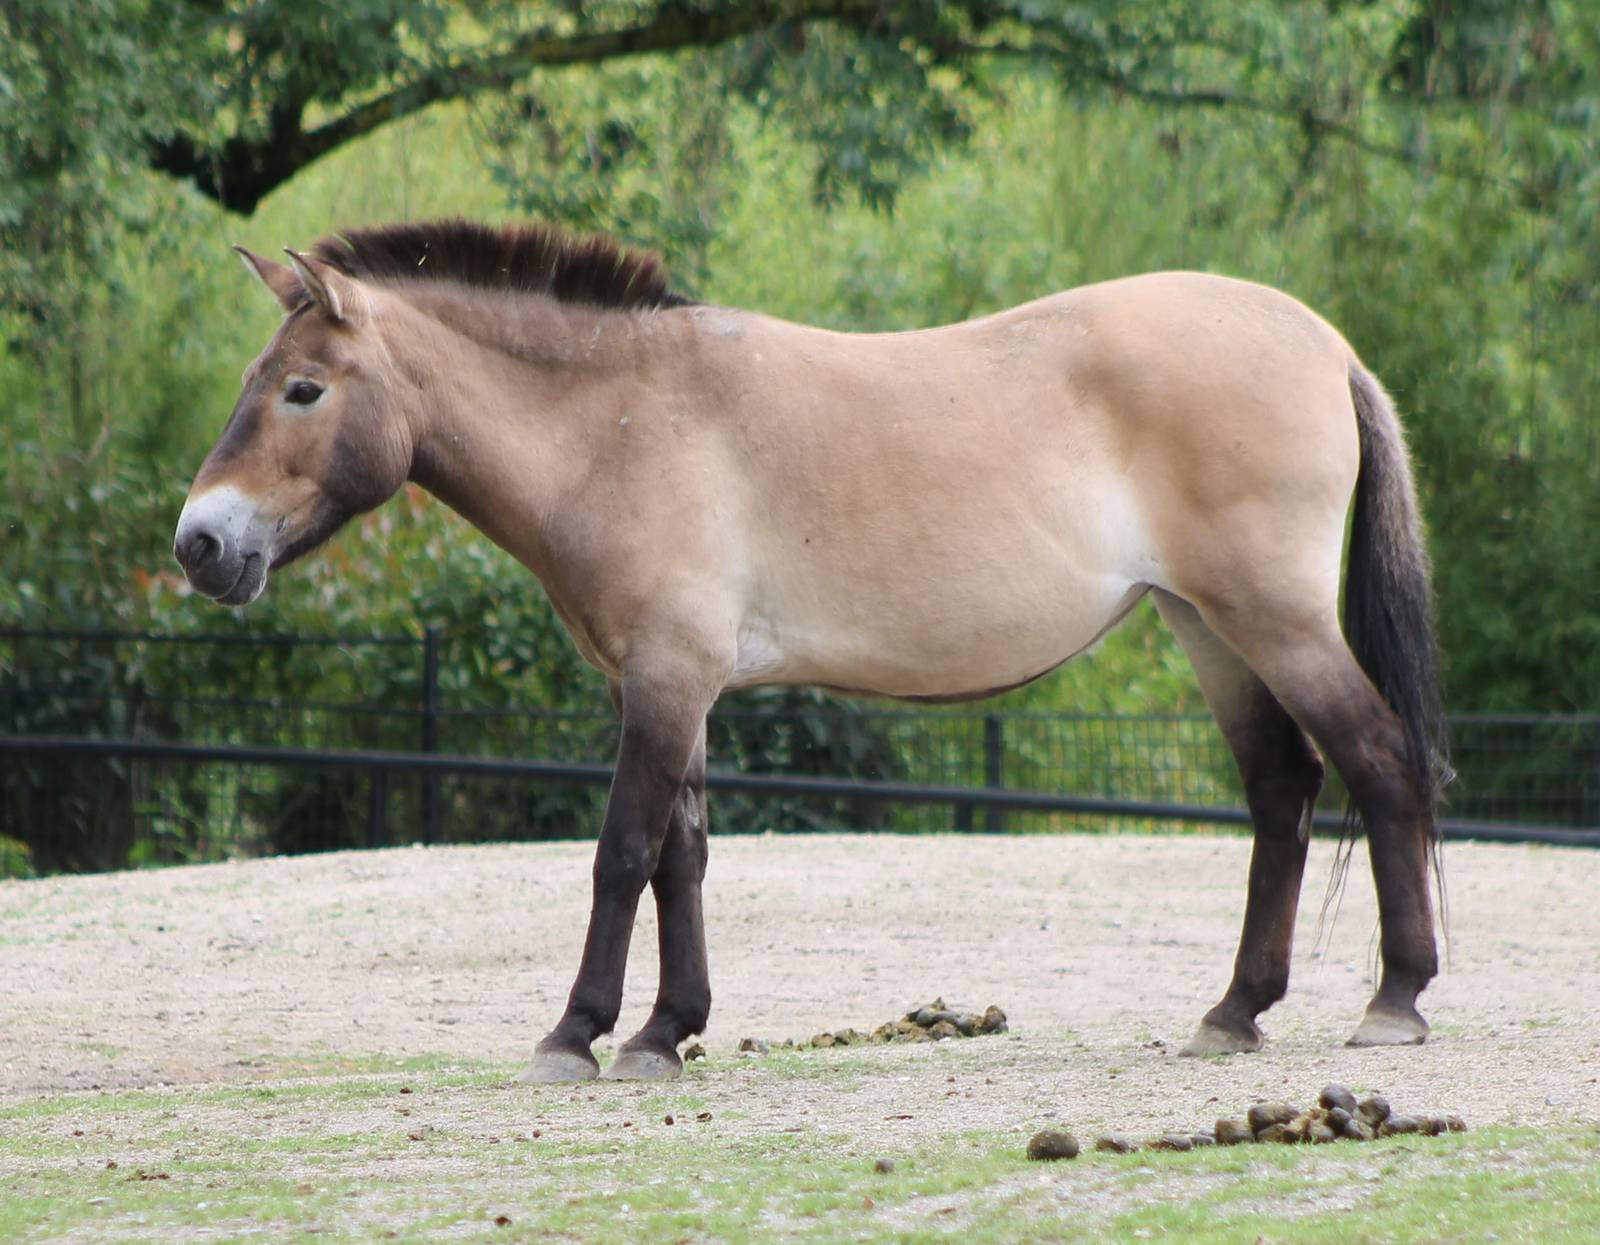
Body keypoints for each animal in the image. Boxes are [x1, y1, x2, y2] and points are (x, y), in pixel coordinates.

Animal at [173, 218, 1449, 1082]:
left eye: (301, 390)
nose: (200, 543)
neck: (620, 423)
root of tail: (1323, 344)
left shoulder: (666, 679)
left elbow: (620, 852)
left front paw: (576, 1033)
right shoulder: (675, 687)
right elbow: (681, 857)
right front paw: (665, 1032)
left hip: (1270, 617)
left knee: (1378, 762)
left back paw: (1393, 1000)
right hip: (1206, 625)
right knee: (1283, 789)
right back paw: (1235, 1012)